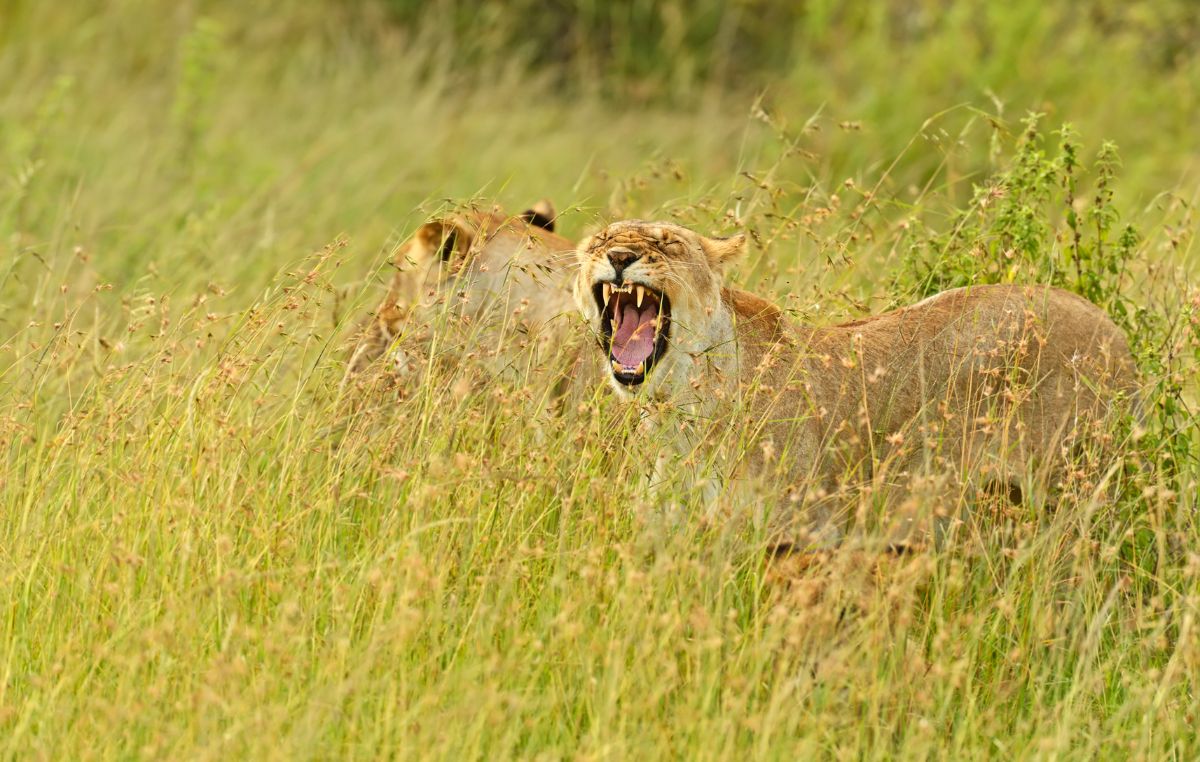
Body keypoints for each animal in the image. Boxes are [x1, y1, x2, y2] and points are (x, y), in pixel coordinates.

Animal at [571, 219, 1132, 549]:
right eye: (599, 242)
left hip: (1077, 491)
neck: (681, 407)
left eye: (667, 243)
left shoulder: (803, 531)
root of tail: (1112, 328)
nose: (619, 258)